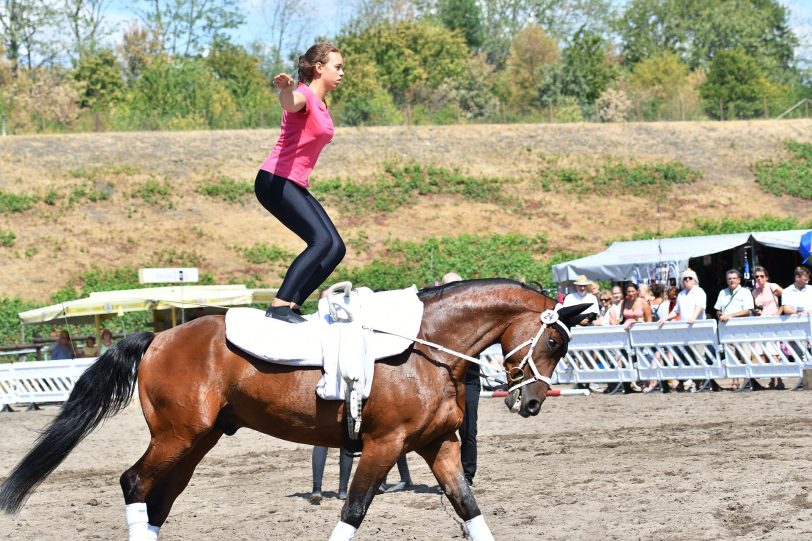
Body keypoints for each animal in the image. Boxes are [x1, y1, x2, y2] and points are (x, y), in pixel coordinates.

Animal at [0, 278, 588, 540]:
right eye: (555, 341)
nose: (532, 402)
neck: (427, 347)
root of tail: (159, 337)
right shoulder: (383, 445)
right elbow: (353, 511)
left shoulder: (437, 446)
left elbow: (468, 507)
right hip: (177, 436)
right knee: (134, 484)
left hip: (196, 441)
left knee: (158, 499)